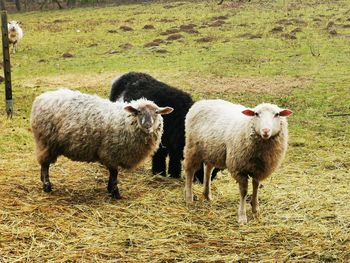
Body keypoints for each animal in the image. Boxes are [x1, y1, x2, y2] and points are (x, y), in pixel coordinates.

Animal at [30, 88, 173, 198]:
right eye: (138, 112)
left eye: (156, 112)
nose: (148, 126)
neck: (125, 120)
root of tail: (41, 97)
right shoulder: (111, 152)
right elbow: (114, 173)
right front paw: (115, 193)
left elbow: (113, 173)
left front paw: (110, 190)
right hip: (46, 142)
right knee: (45, 165)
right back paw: (47, 186)